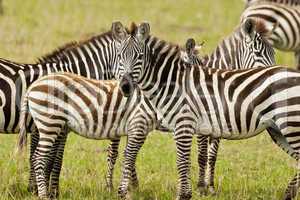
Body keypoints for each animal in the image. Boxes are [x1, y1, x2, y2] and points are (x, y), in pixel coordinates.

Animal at [111, 21, 300, 200]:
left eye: (140, 57)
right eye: (119, 56)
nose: (126, 87)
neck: (173, 82)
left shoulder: (187, 126)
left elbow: (191, 160)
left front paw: (194, 191)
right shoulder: (196, 127)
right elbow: (193, 159)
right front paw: (199, 189)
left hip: (289, 125)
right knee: (128, 152)